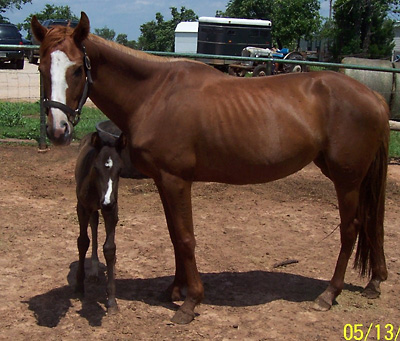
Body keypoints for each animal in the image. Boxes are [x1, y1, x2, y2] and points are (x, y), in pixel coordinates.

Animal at [73, 131, 126, 312]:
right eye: (96, 168)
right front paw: (79, 288)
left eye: (120, 170)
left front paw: (111, 300)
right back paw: (94, 271)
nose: (106, 202)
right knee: (94, 226)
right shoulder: (82, 207)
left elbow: (109, 248)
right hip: (91, 209)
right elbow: (83, 242)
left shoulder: (111, 210)